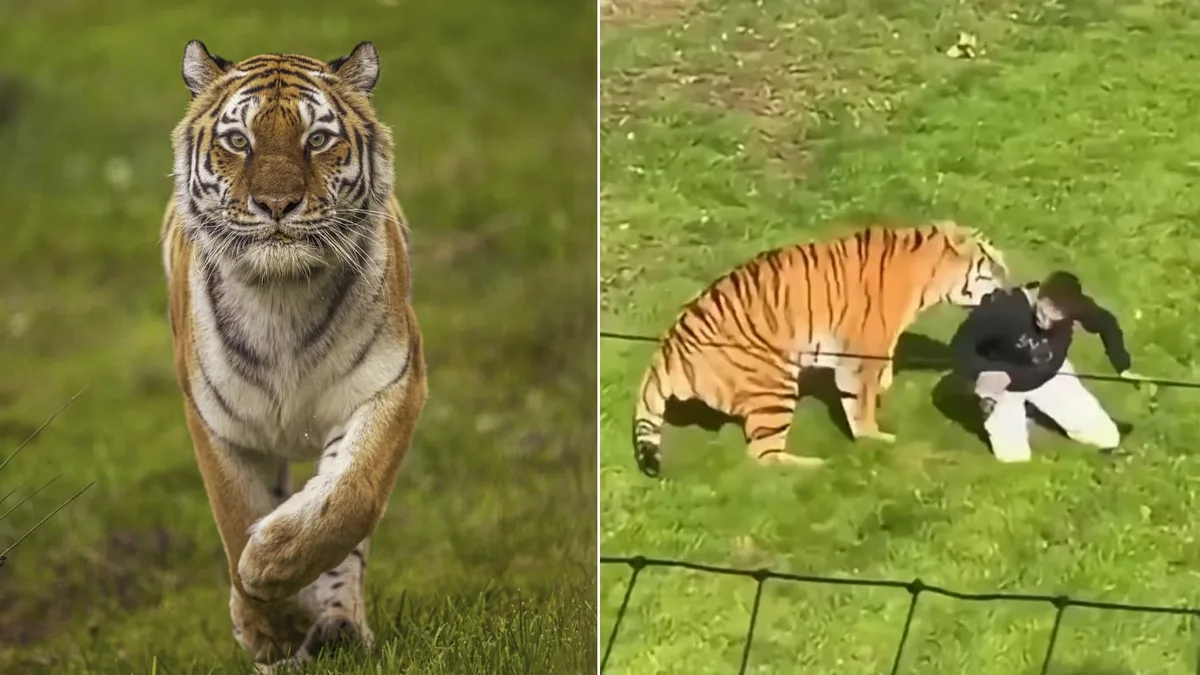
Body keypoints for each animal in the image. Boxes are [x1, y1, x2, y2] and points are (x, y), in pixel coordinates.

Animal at [160, 40, 427, 669]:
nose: (277, 203)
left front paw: (271, 564)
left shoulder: (394, 381)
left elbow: (351, 498)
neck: (281, 297)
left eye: (318, 139)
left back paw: (337, 627)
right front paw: (269, 623)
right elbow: (235, 518)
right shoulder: (216, 422)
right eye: (239, 141)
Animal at [631, 221, 1009, 477]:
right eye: (993, 265)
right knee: (762, 455)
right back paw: (815, 465)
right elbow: (860, 403)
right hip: (775, 382)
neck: (928, 275)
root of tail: (667, 349)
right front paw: (874, 438)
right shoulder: (860, 353)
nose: (1011, 285)